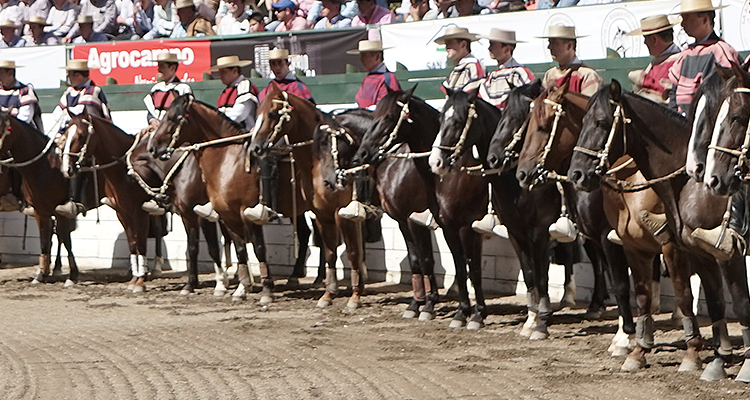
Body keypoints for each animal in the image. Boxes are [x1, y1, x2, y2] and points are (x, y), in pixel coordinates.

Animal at [247, 83, 368, 310]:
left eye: (273, 113)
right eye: (257, 113)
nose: (255, 148)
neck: (316, 166)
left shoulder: (341, 212)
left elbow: (351, 251)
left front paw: (355, 297)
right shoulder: (321, 214)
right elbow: (329, 252)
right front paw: (328, 295)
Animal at [318, 108, 440, 320]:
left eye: (329, 143)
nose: (328, 182)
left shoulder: (416, 220)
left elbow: (426, 260)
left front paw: (429, 304)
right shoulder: (402, 221)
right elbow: (415, 259)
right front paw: (416, 303)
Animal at [568, 80, 750, 382]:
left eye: (601, 122)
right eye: (581, 122)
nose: (577, 175)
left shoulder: (709, 253)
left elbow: (698, 297)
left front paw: (693, 354)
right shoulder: (666, 250)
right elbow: (649, 297)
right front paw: (639, 352)